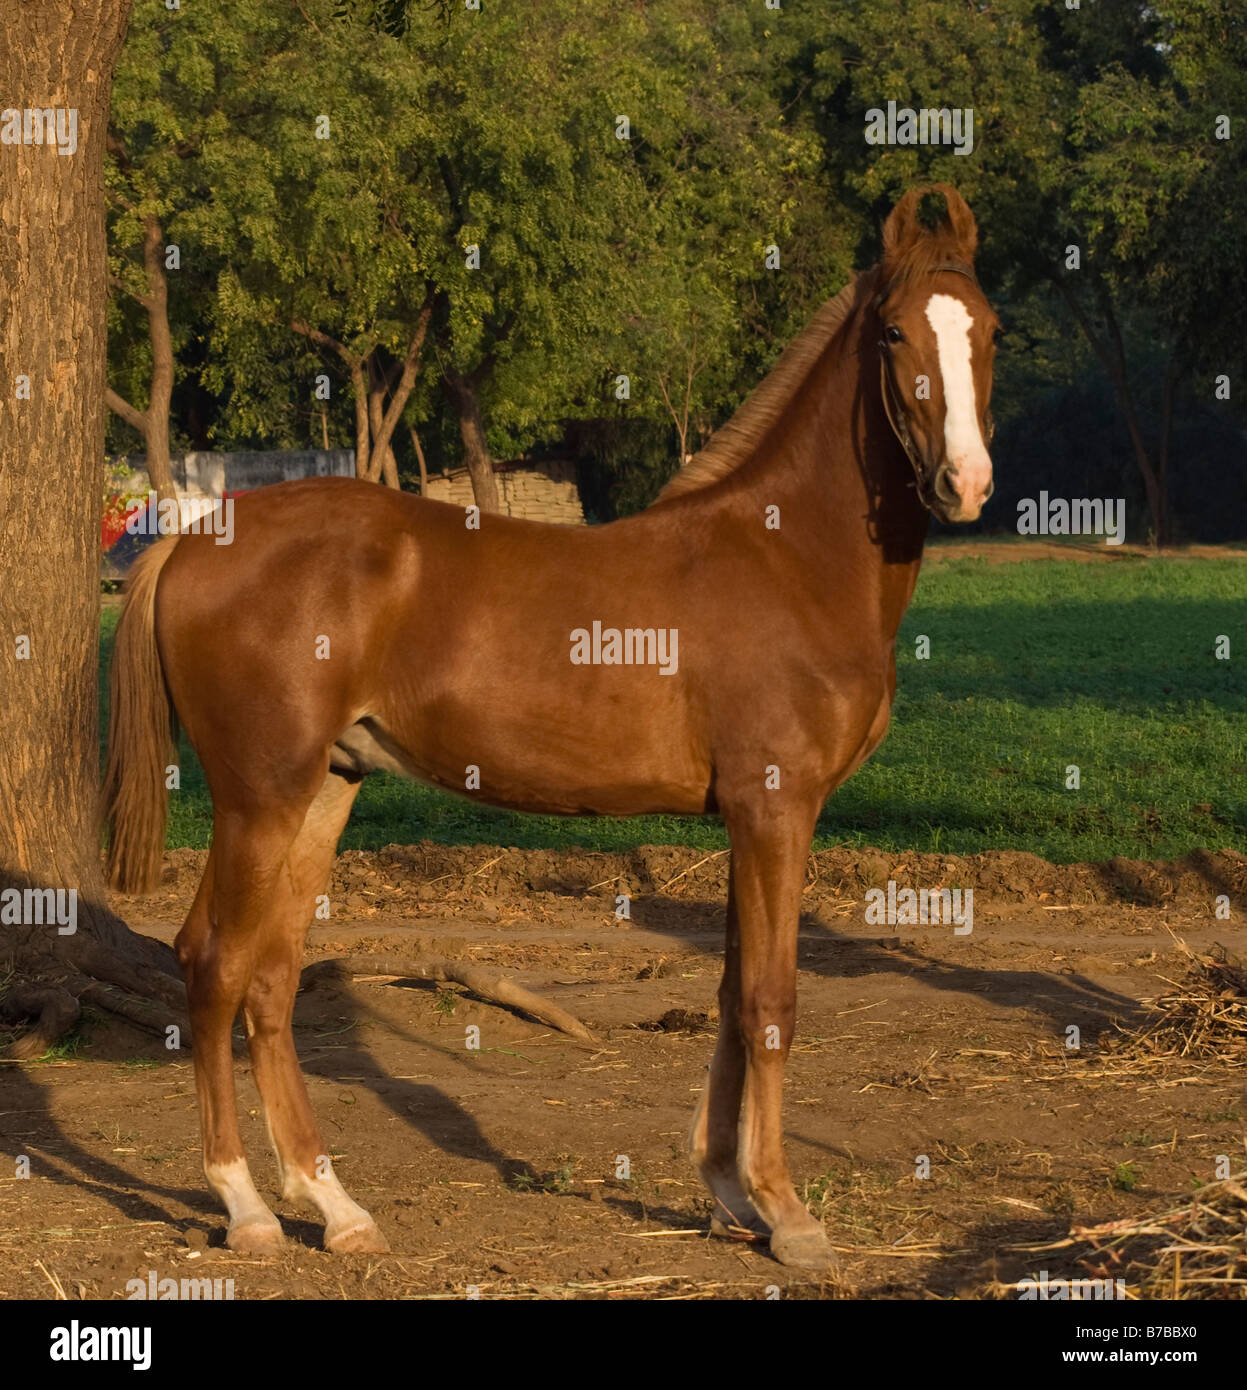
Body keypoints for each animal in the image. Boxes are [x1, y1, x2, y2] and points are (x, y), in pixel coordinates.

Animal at [103, 183, 998, 1271]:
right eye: (894, 332)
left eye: (988, 330)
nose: (965, 482)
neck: (783, 557)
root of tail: (196, 539)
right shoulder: (776, 811)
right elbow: (771, 1001)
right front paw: (789, 1217)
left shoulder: (745, 819)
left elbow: (731, 995)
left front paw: (728, 1192)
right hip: (258, 798)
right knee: (214, 963)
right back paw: (246, 1210)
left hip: (326, 788)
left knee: (271, 980)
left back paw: (338, 1209)